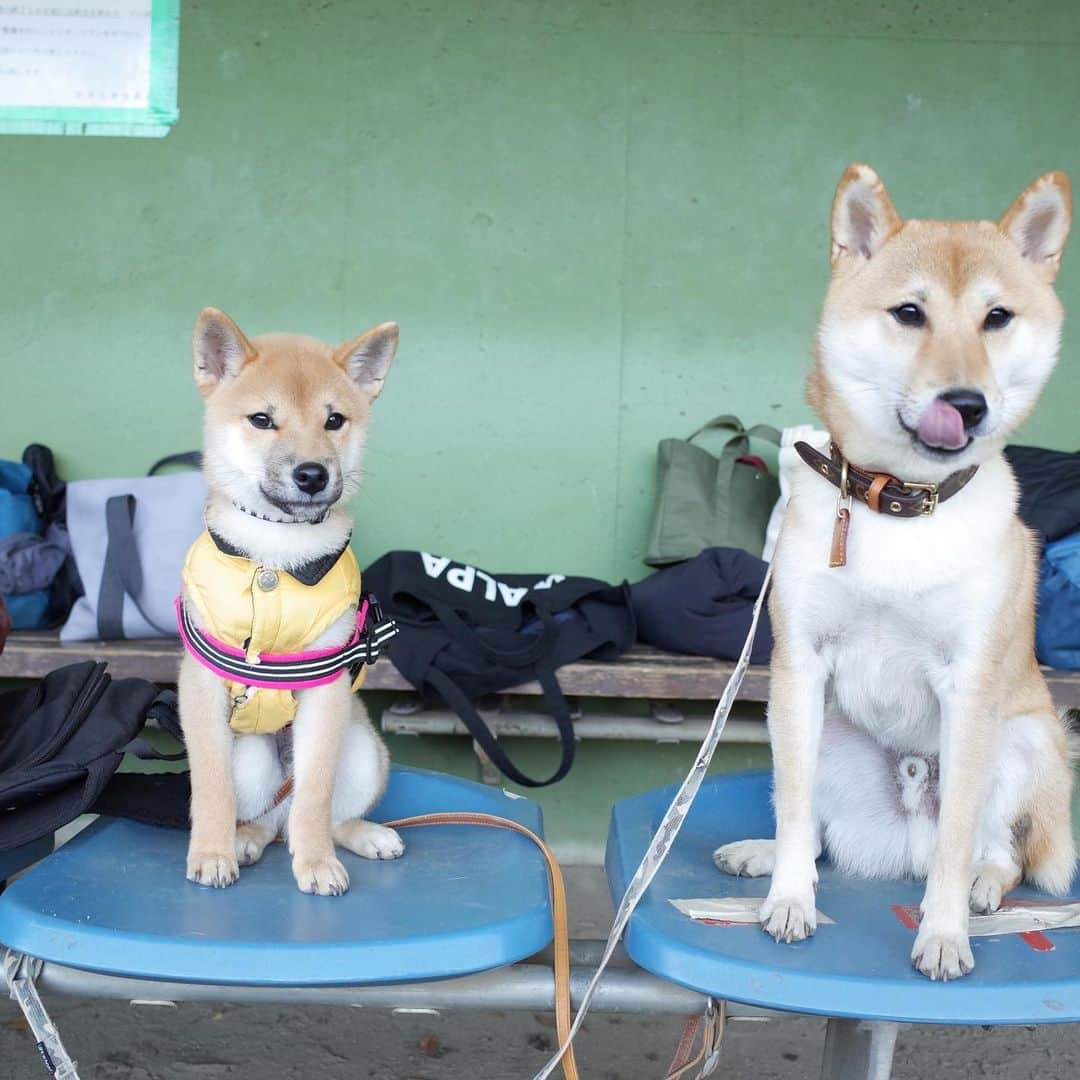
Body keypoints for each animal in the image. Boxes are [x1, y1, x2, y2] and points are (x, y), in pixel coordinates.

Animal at [178, 311, 406, 894]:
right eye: (262, 420)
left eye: (334, 421)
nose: (312, 475)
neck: (276, 559)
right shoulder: (202, 687)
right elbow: (210, 787)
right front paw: (210, 852)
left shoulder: (325, 690)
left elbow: (316, 796)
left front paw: (318, 861)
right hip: (251, 759)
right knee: (262, 818)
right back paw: (243, 841)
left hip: (364, 752)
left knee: (313, 811)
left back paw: (360, 836)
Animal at [712, 166, 1075, 980]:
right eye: (910, 313)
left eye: (997, 318)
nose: (964, 403)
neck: (901, 504)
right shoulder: (800, 666)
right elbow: (793, 810)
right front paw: (790, 898)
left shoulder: (968, 689)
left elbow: (958, 845)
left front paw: (942, 932)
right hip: (820, 733)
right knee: (813, 823)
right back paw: (766, 859)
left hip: (1028, 740)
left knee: (998, 849)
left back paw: (982, 890)